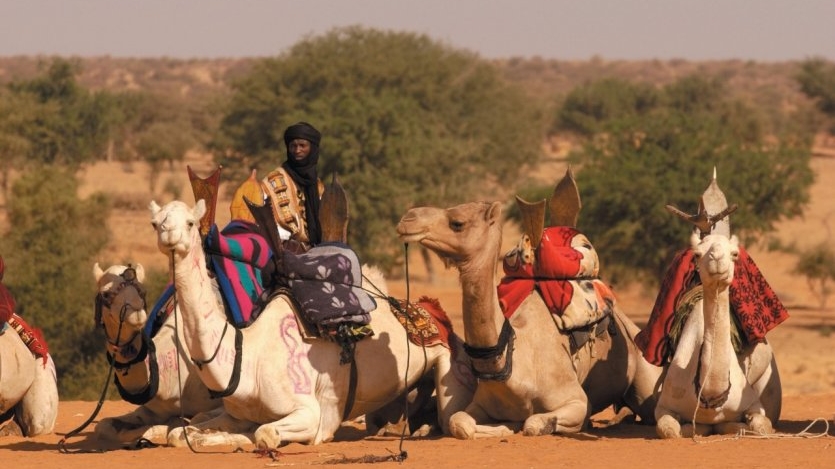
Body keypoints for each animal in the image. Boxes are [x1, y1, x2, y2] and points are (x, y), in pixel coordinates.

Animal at [147, 197, 474, 446]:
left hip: (451, 363)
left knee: (448, 416)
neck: (246, 358)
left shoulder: (310, 413)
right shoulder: (236, 413)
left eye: (190, 222)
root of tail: (435, 316)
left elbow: (264, 433)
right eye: (156, 222)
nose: (167, 234)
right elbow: (182, 433)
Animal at [396, 168, 664, 438]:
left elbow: (533, 423)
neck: (513, 363)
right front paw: (501, 427)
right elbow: (458, 422)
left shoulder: (577, 402)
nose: (408, 218)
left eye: (457, 223)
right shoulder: (480, 403)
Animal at [640, 173, 784, 438]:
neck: (710, 393)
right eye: (697, 254)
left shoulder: (753, 403)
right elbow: (670, 430)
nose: (717, 259)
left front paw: (733, 427)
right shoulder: (665, 405)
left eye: (735, 253)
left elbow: (760, 426)